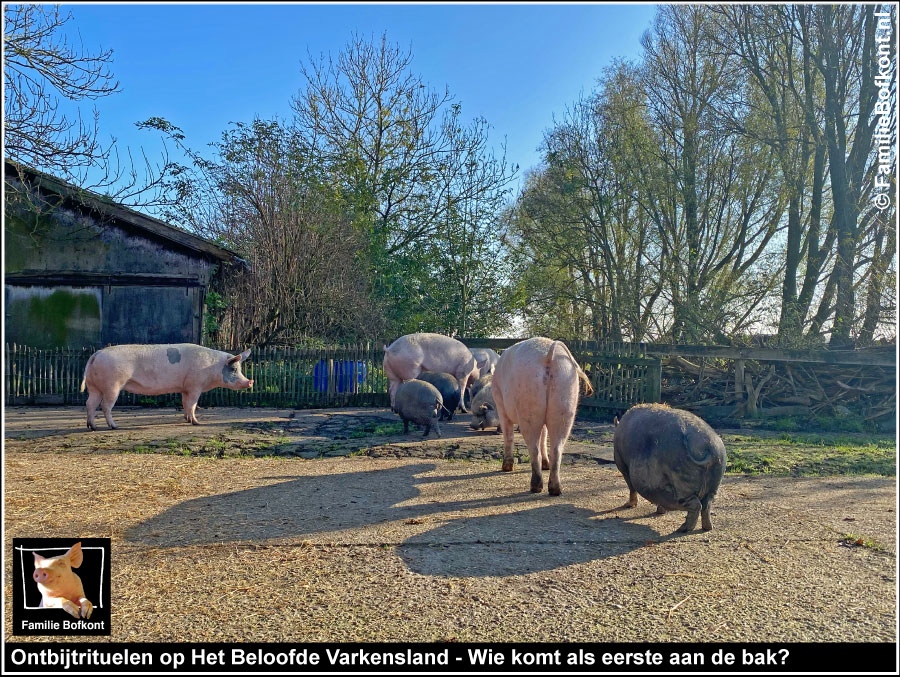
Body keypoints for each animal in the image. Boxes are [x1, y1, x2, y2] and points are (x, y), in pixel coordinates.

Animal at [80, 340, 253, 430]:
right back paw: (114, 426)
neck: (213, 367)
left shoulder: (185, 388)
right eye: (233, 369)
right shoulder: (195, 386)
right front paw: (196, 423)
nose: (250, 382)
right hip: (112, 385)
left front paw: (186, 419)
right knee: (105, 406)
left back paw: (92, 427)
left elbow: (185, 403)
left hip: (95, 387)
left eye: (239, 369)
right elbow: (193, 404)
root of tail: (96, 354)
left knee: (90, 403)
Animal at [616, 404, 728, 532]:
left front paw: (628, 506)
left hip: (681, 481)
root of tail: (707, 446)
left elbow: (631, 487)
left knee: (696, 505)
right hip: (715, 479)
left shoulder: (623, 465)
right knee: (707, 504)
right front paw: (660, 512)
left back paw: (683, 529)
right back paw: (707, 528)